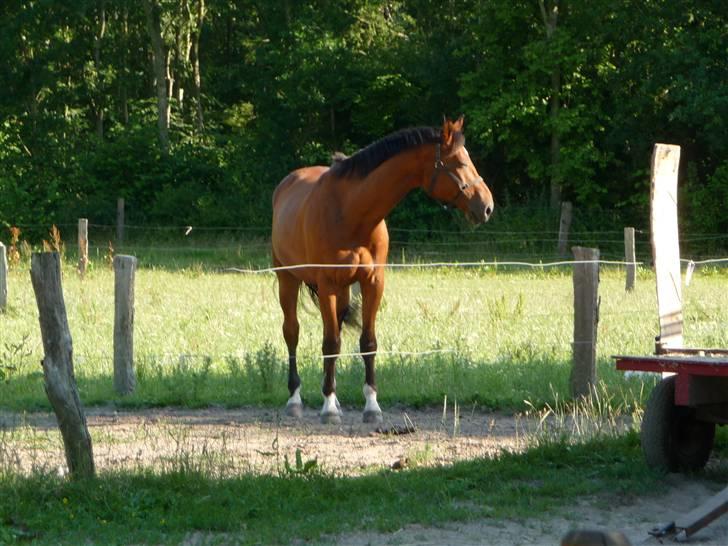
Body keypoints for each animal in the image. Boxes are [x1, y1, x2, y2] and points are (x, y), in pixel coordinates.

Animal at [272, 115, 494, 422]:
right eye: (458, 163)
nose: (487, 206)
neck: (351, 212)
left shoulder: (373, 283)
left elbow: (367, 343)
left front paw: (371, 406)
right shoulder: (327, 284)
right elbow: (330, 344)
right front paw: (328, 408)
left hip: (342, 290)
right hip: (288, 278)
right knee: (292, 332)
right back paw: (295, 399)